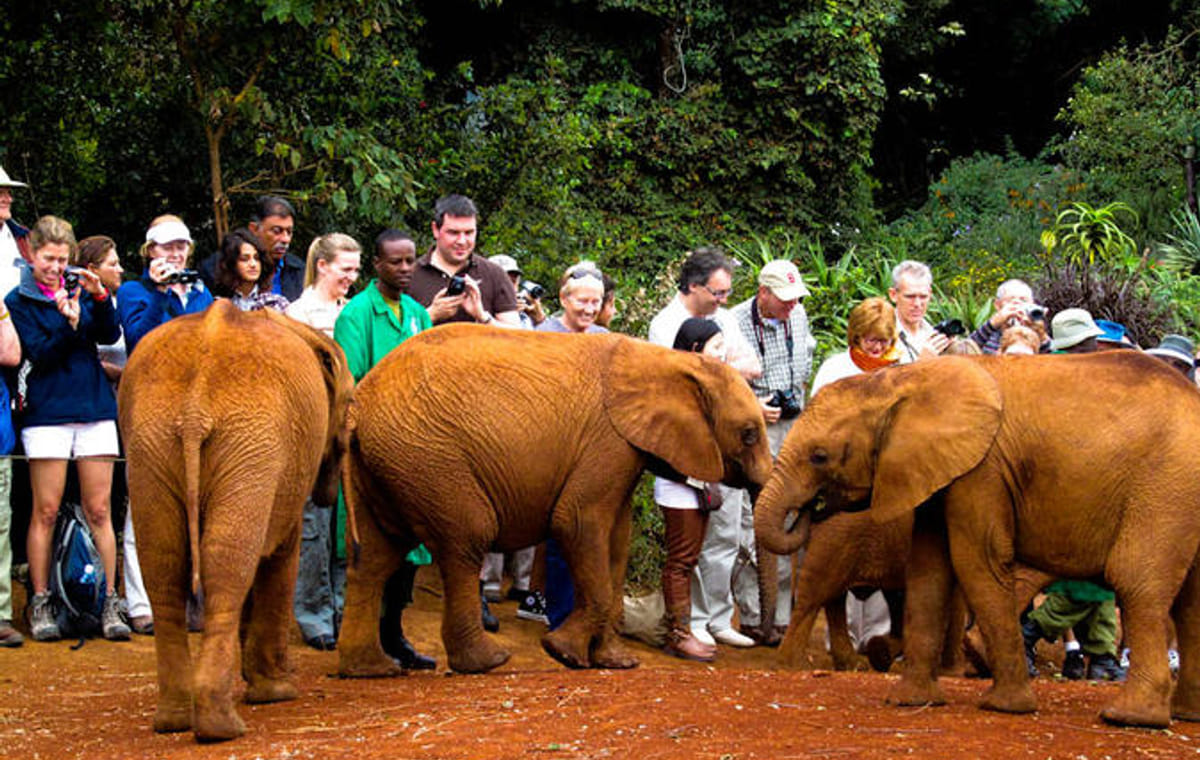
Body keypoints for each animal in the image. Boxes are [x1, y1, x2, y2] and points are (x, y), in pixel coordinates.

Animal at [119, 301, 354, 742]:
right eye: (350, 404)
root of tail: (194, 410)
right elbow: (281, 554)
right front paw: (275, 692)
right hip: (250, 443)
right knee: (227, 568)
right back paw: (223, 726)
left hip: (151, 445)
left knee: (167, 567)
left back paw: (176, 720)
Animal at [337, 324, 773, 677]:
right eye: (750, 434)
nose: (764, 636)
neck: (668, 360)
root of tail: (360, 403)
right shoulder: (608, 441)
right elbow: (577, 523)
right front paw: (562, 653)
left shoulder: (624, 452)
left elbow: (616, 542)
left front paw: (616, 662)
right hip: (428, 459)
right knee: (467, 539)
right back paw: (487, 662)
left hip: (387, 463)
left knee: (373, 558)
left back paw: (370, 669)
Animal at [754, 351, 1200, 728]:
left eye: (819, 456)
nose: (811, 509)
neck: (904, 380)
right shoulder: (942, 470)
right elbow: (929, 571)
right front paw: (911, 701)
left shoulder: (981, 471)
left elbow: (975, 563)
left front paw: (1004, 706)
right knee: (1187, 601)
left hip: (1164, 488)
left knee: (1139, 584)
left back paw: (1131, 718)